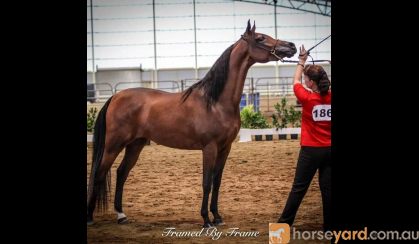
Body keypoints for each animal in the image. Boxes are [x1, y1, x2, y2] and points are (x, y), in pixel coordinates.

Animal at [88, 20, 298, 228]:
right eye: (260, 38)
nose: (292, 46)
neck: (215, 102)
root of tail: (115, 97)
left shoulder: (225, 148)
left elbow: (217, 181)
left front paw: (217, 217)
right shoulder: (209, 148)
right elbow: (206, 182)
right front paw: (206, 220)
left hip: (135, 144)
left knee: (121, 173)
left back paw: (121, 215)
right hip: (113, 145)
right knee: (99, 173)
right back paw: (91, 217)